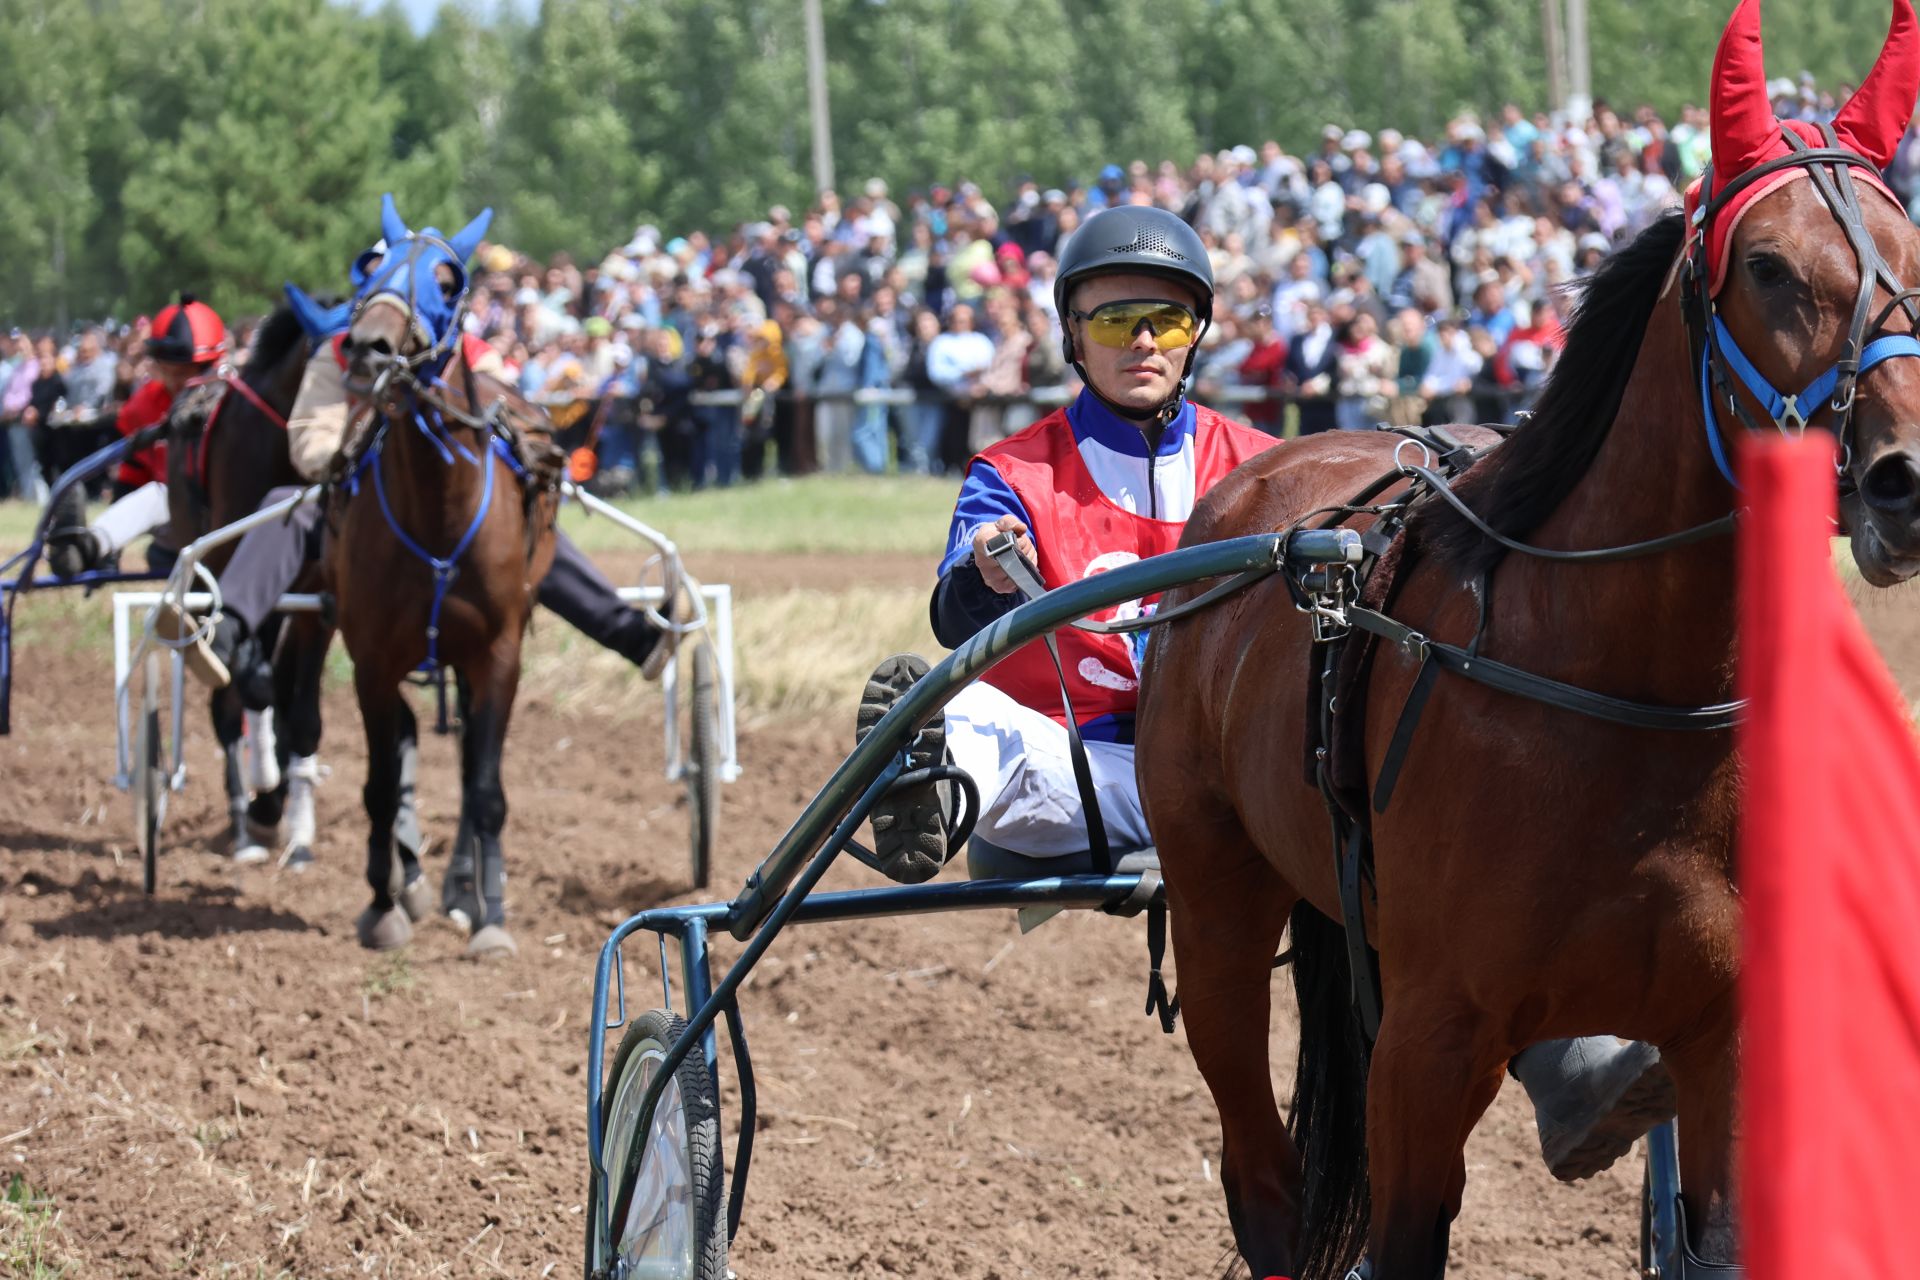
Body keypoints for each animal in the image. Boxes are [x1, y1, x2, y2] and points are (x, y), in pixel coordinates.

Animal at [326, 197, 556, 959]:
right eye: (370, 269)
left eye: (450, 281)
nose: (369, 348)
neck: (437, 517)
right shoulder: (372, 659)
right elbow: (379, 782)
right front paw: (381, 903)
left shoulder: (498, 653)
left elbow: (484, 786)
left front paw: (491, 917)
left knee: (469, 767)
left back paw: (467, 885)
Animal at [1128, 5, 1920, 1274]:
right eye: (1767, 266)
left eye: (1914, 251)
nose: (1906, 478)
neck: (1627, 690)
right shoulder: (1431, 1036)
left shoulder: (1725, 1032)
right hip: (1216, 908)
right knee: (1262, 1177)